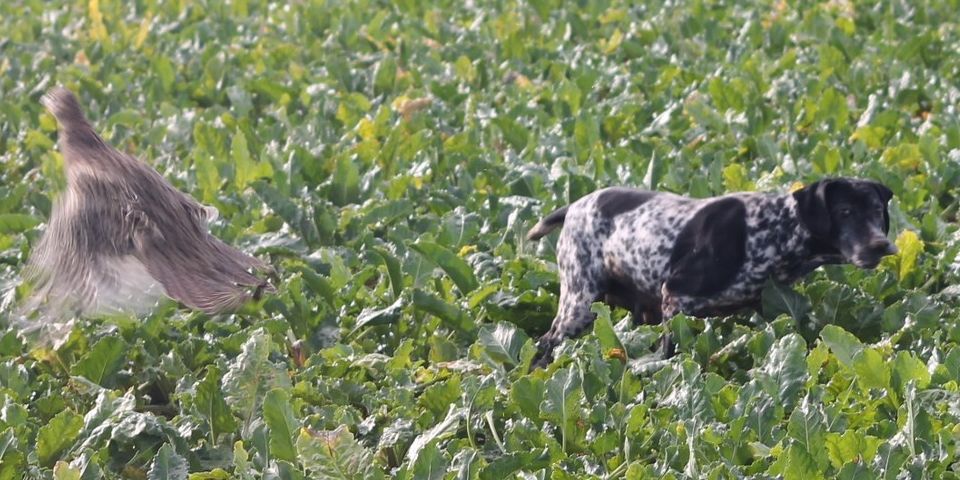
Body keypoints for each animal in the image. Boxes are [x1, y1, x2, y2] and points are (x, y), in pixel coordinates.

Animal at [528, 177, 896, 368]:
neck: (777, 230)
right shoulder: (675, 297)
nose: (881, 245)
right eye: (845, 211)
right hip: (579, 305)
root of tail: (574, 206)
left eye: (877, 210)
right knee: (546, 343)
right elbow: (670, 350)